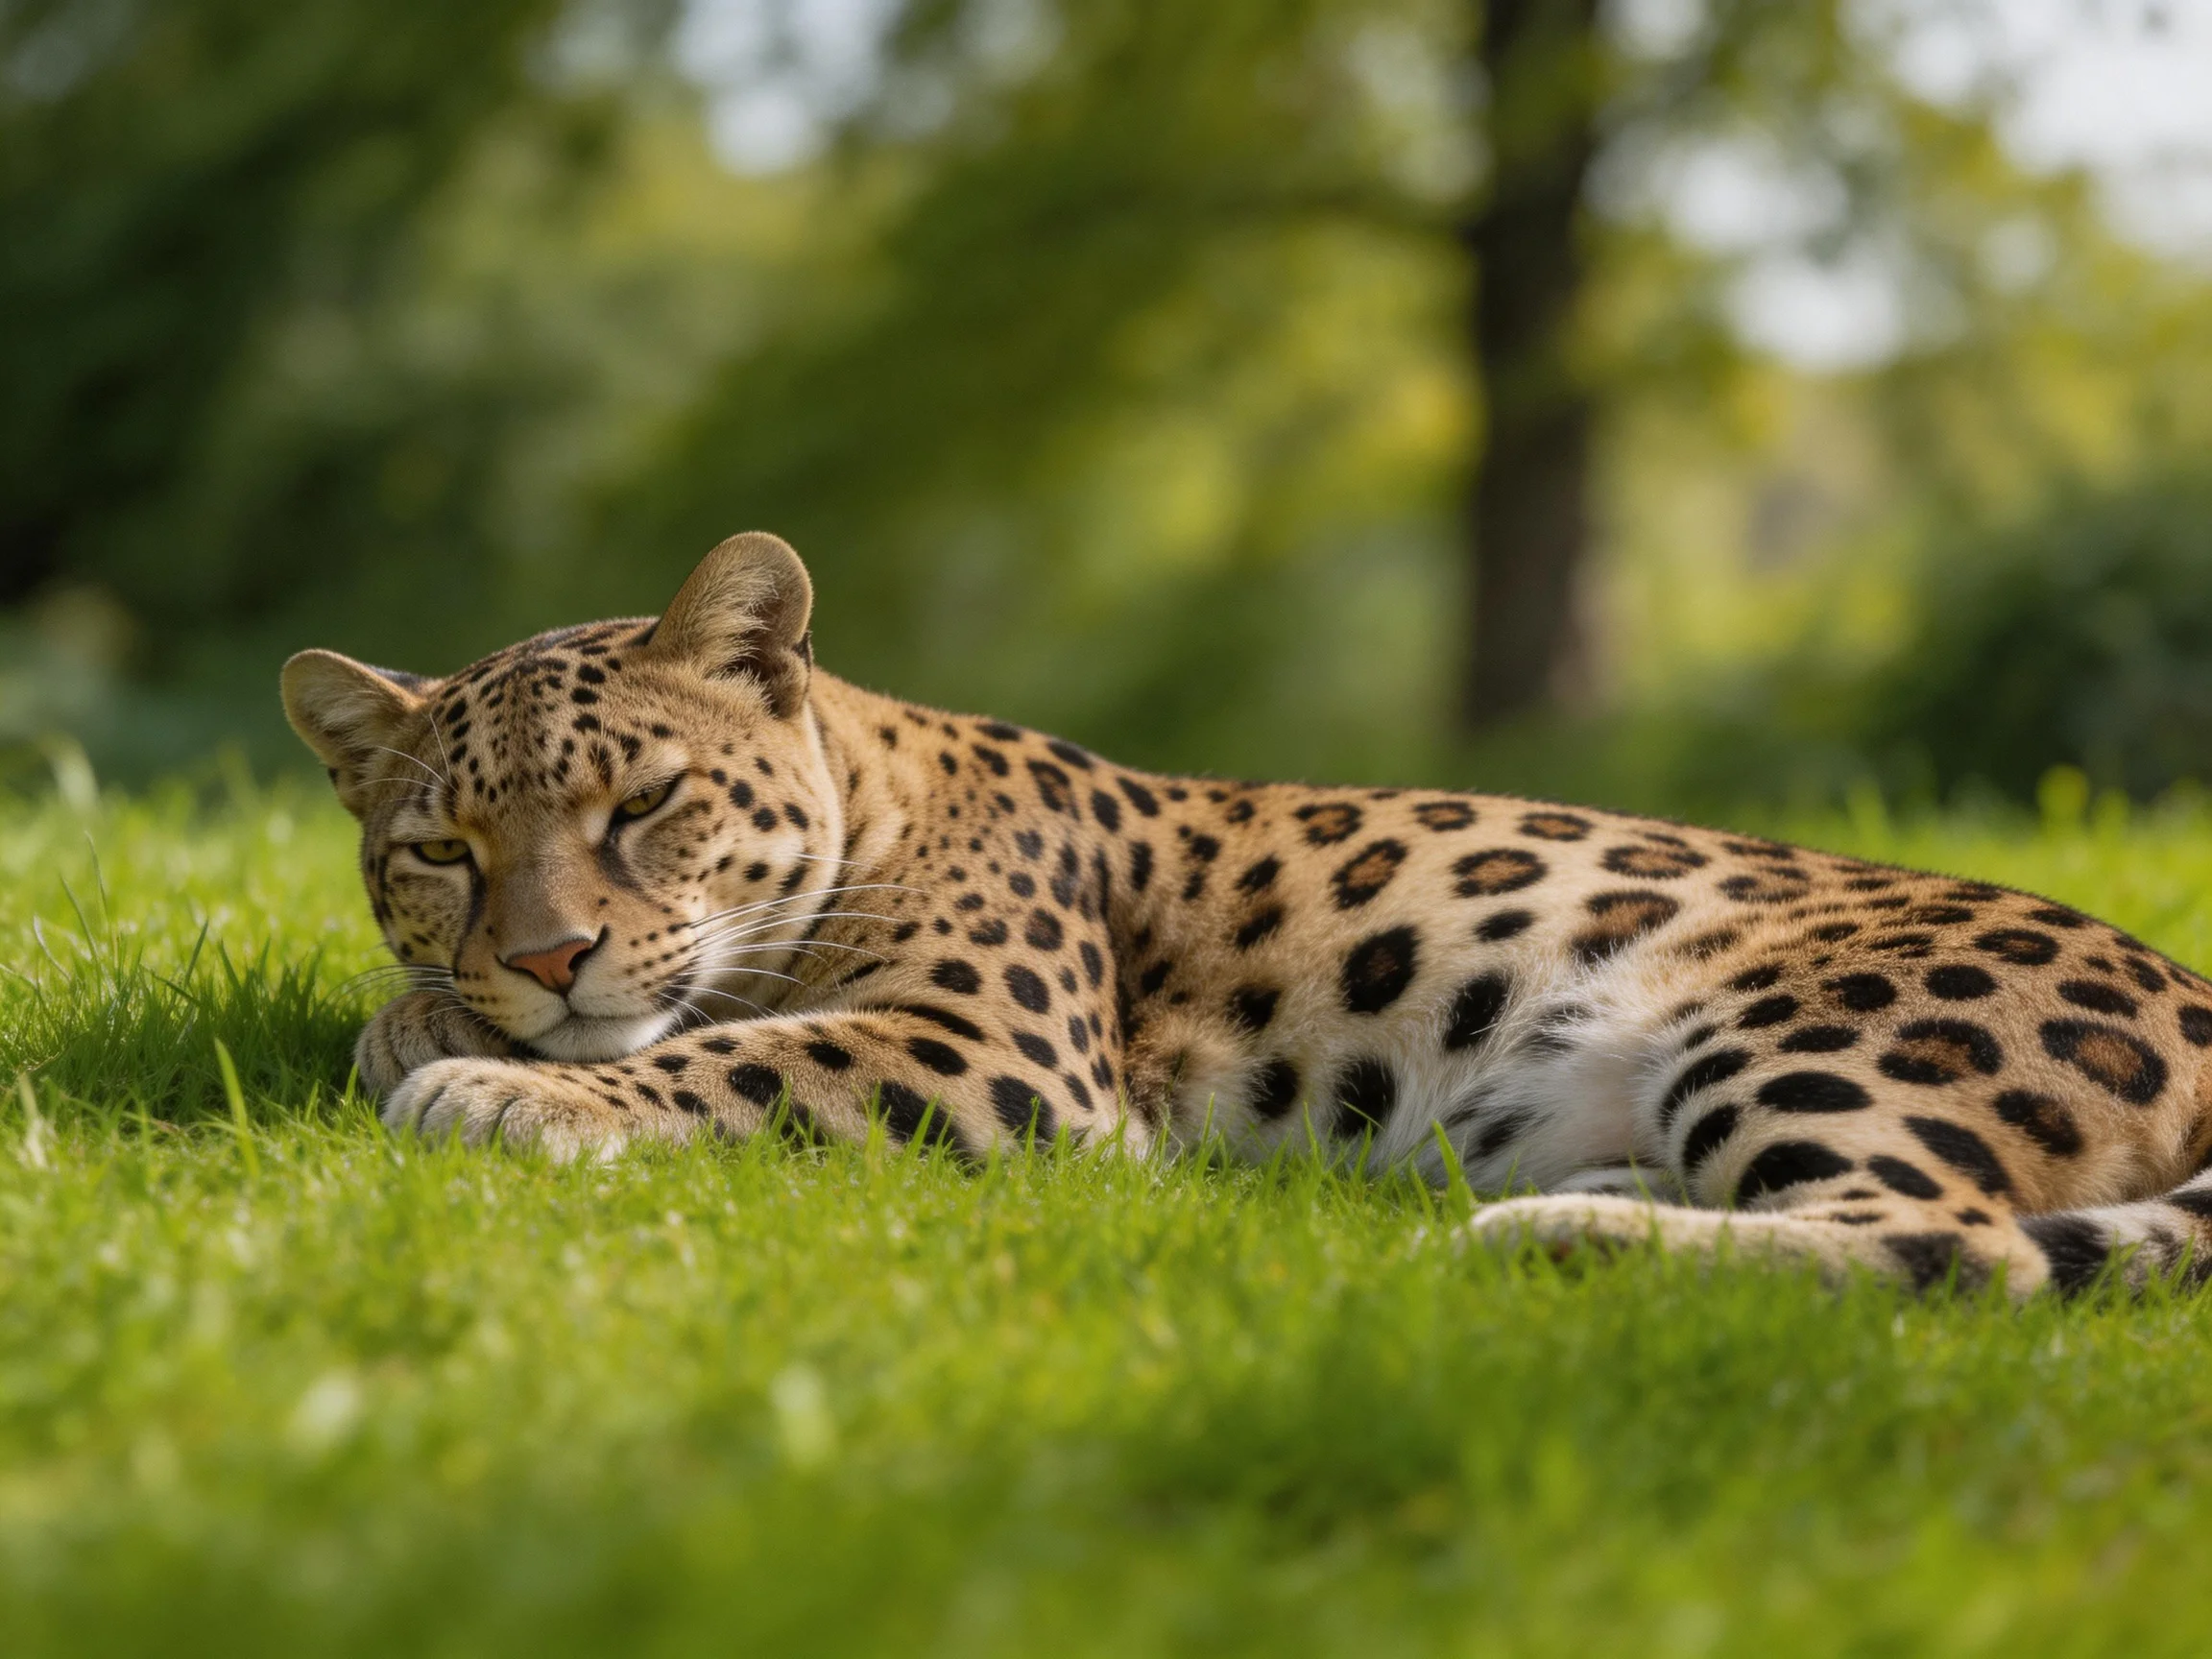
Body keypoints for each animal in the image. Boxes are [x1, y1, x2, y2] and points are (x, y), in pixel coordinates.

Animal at [282, 531, 2212, 1296]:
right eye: (443, 851)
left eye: (646, 805)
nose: (546, 957)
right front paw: (443, 1020)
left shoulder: (991, 1054)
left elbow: (735, 1059)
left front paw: (489, 1081)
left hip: (1796, 1025)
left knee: (1950, 1237)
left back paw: (1543, 1241)